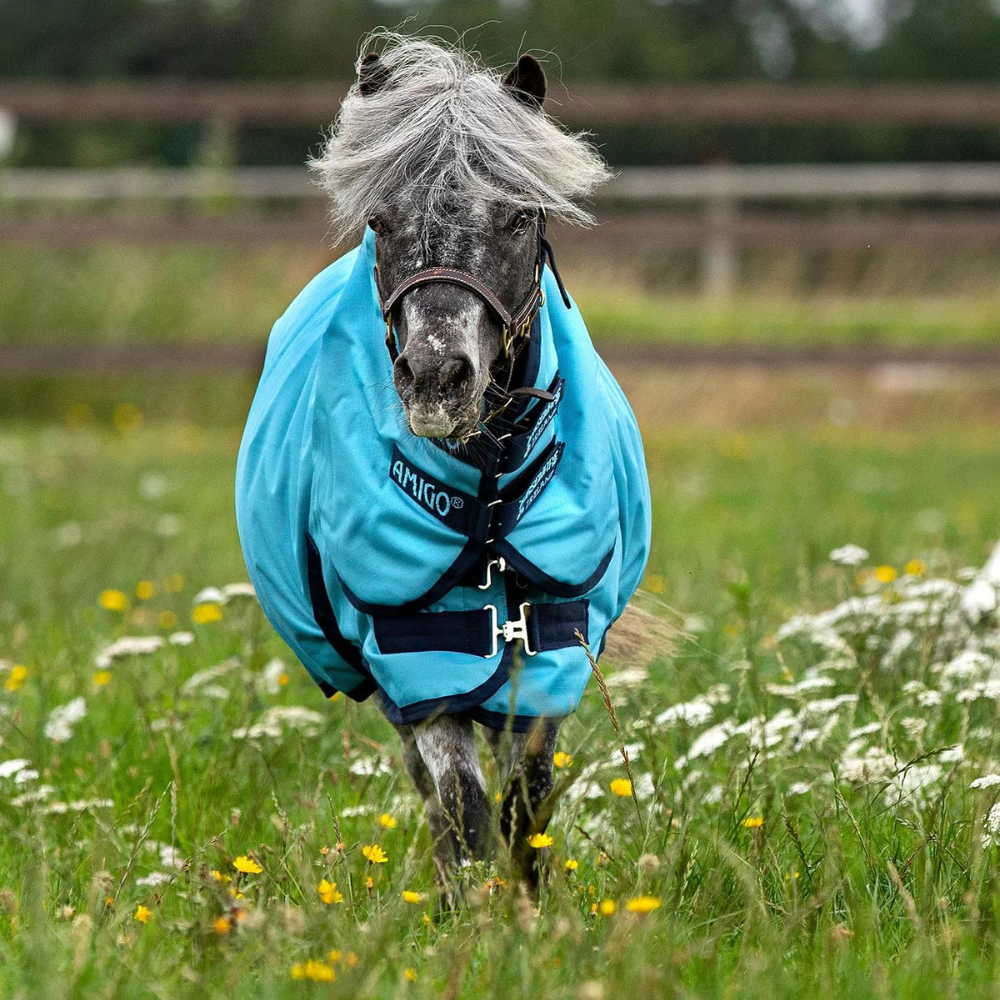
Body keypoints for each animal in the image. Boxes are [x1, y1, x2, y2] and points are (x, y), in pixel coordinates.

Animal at [235, 34, 651, 895]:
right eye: (379, 220)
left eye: (520, 216)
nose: (435, 377)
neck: (490, 494)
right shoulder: (422, 661)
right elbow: (463, 811)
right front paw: (475, 915)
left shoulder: (548, 655)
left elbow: (527, 806)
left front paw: (529, 914)